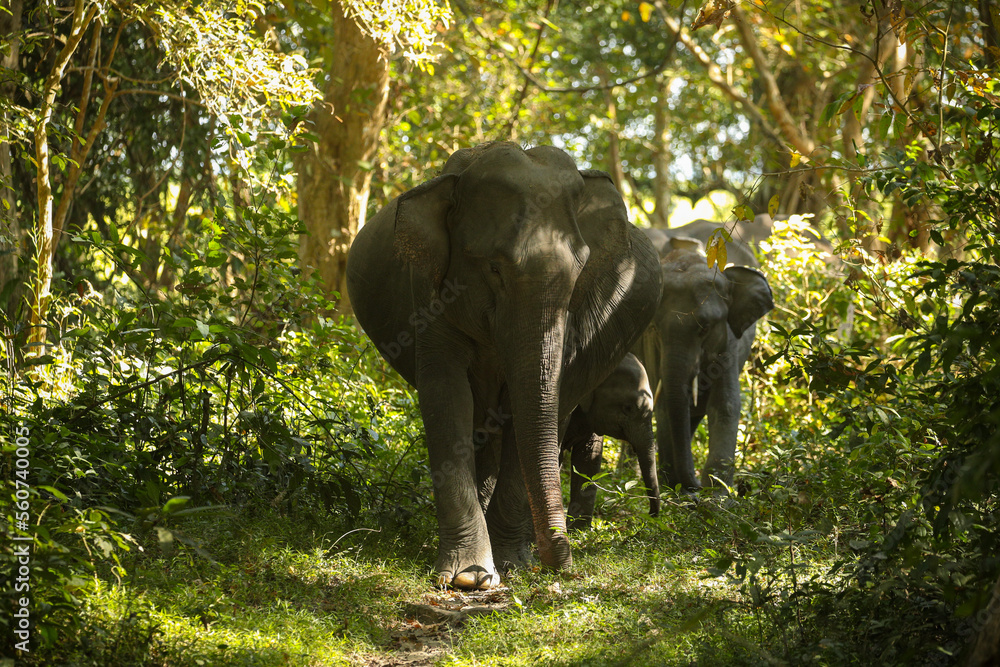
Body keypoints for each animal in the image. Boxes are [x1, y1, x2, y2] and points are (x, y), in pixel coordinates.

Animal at [636, 242, 774, 491]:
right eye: (654, 328)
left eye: (705, 328)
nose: (696, 485)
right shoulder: (650, 346)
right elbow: (663, 404)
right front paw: (677, 490)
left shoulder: (729, 342)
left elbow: (725, 404)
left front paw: (717, 494)